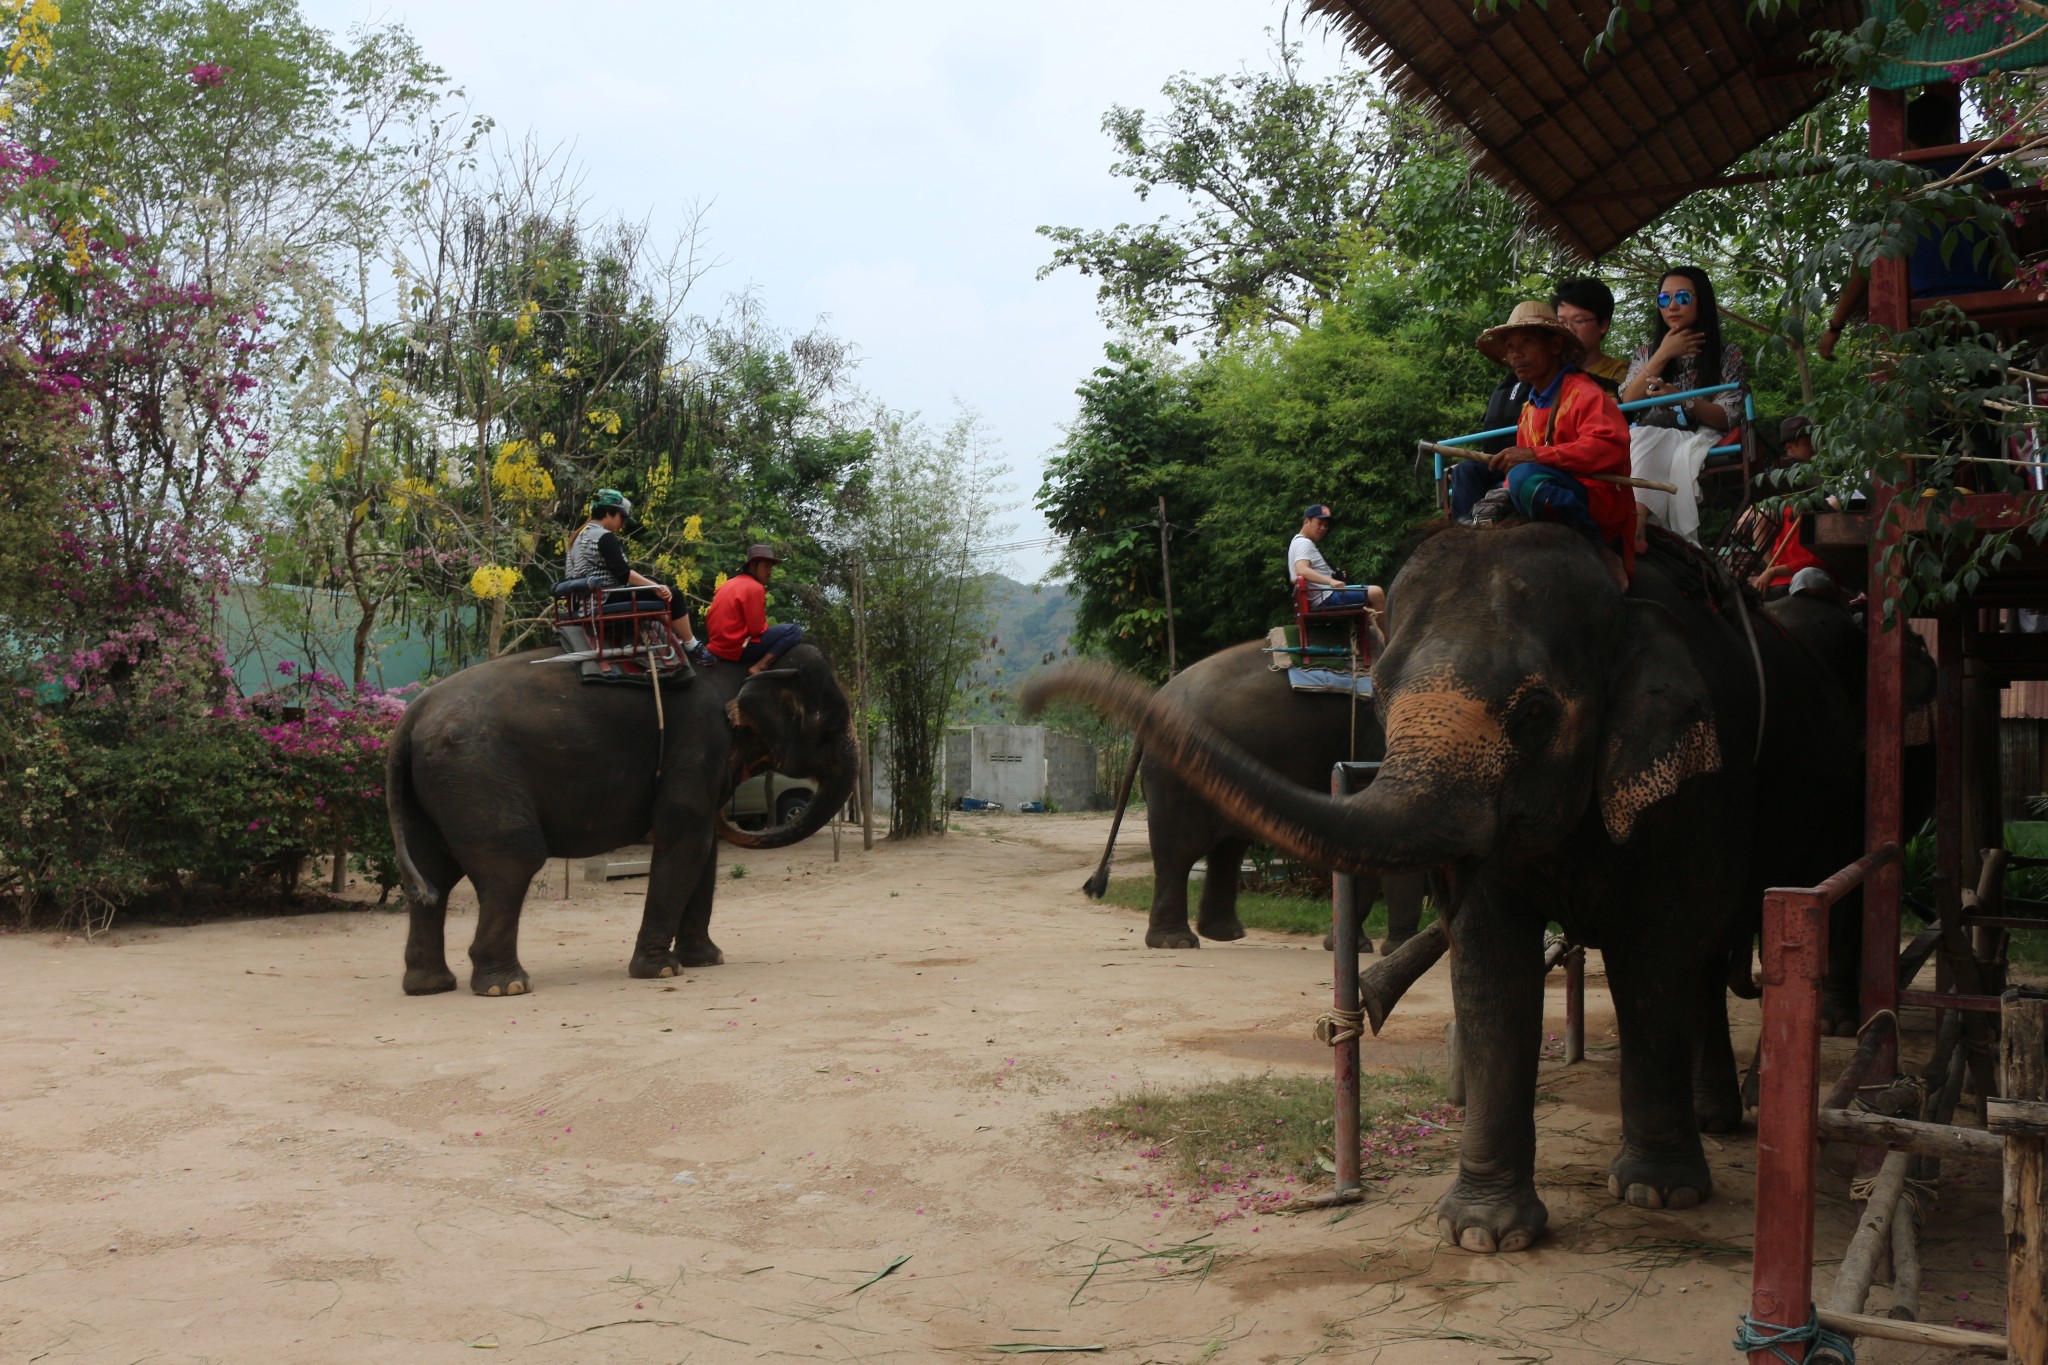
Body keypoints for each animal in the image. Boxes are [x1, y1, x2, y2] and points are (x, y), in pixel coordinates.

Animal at [385, 646, 856, 998]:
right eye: (830, 725)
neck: (744, 666)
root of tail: (411, 716)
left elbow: (703, 849)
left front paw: (707, 961)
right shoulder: (700, 742)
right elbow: (683, 838)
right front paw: (663, 971)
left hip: (434, 787)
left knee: (431, 875)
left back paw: (430, 986)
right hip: (476, 776)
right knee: (512, 862)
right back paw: (508, 987)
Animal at [1138, 638, 1425, 949]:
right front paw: (1394, 948)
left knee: (1228, 847)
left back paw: (1225, 935)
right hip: (1178, 772)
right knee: (1179, 849)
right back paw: (1176, 943)